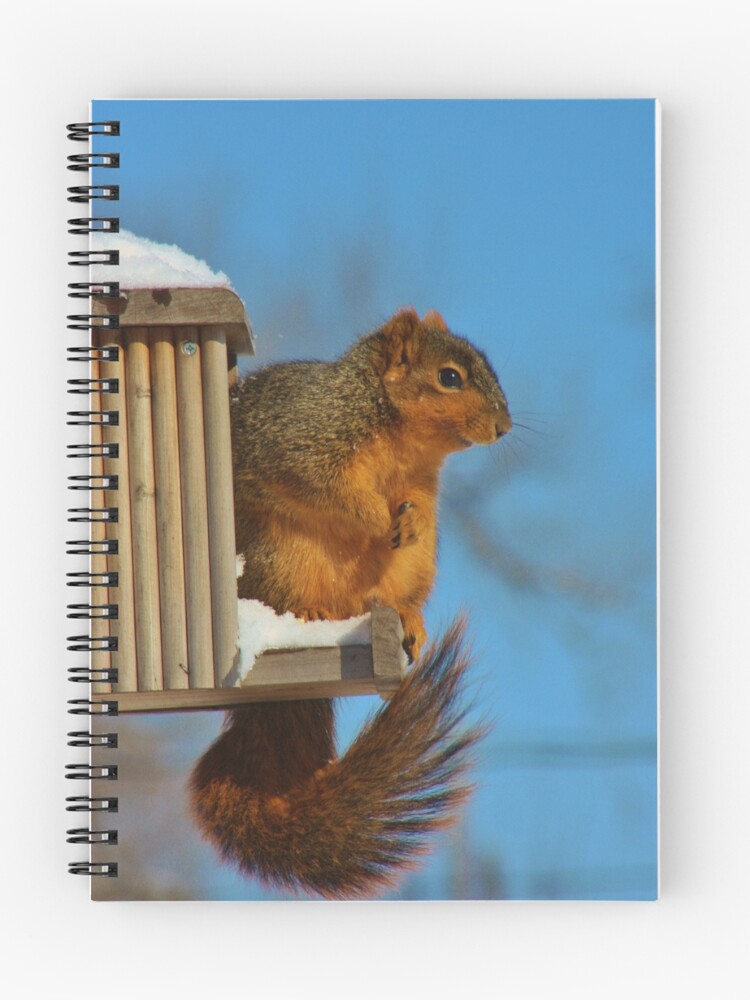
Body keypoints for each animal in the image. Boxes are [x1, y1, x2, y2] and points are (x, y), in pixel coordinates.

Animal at [189, 307, 511, 898]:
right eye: (449, 377)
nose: (504, 427)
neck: (401, 440)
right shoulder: (303, 437)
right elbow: (328, 486)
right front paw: (376, 515)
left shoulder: (423, 488)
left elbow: (418, 510)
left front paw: (406, 521)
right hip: (280, 554)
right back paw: (310, 614)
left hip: (414, 566)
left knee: (386, 594)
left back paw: (405, 617)